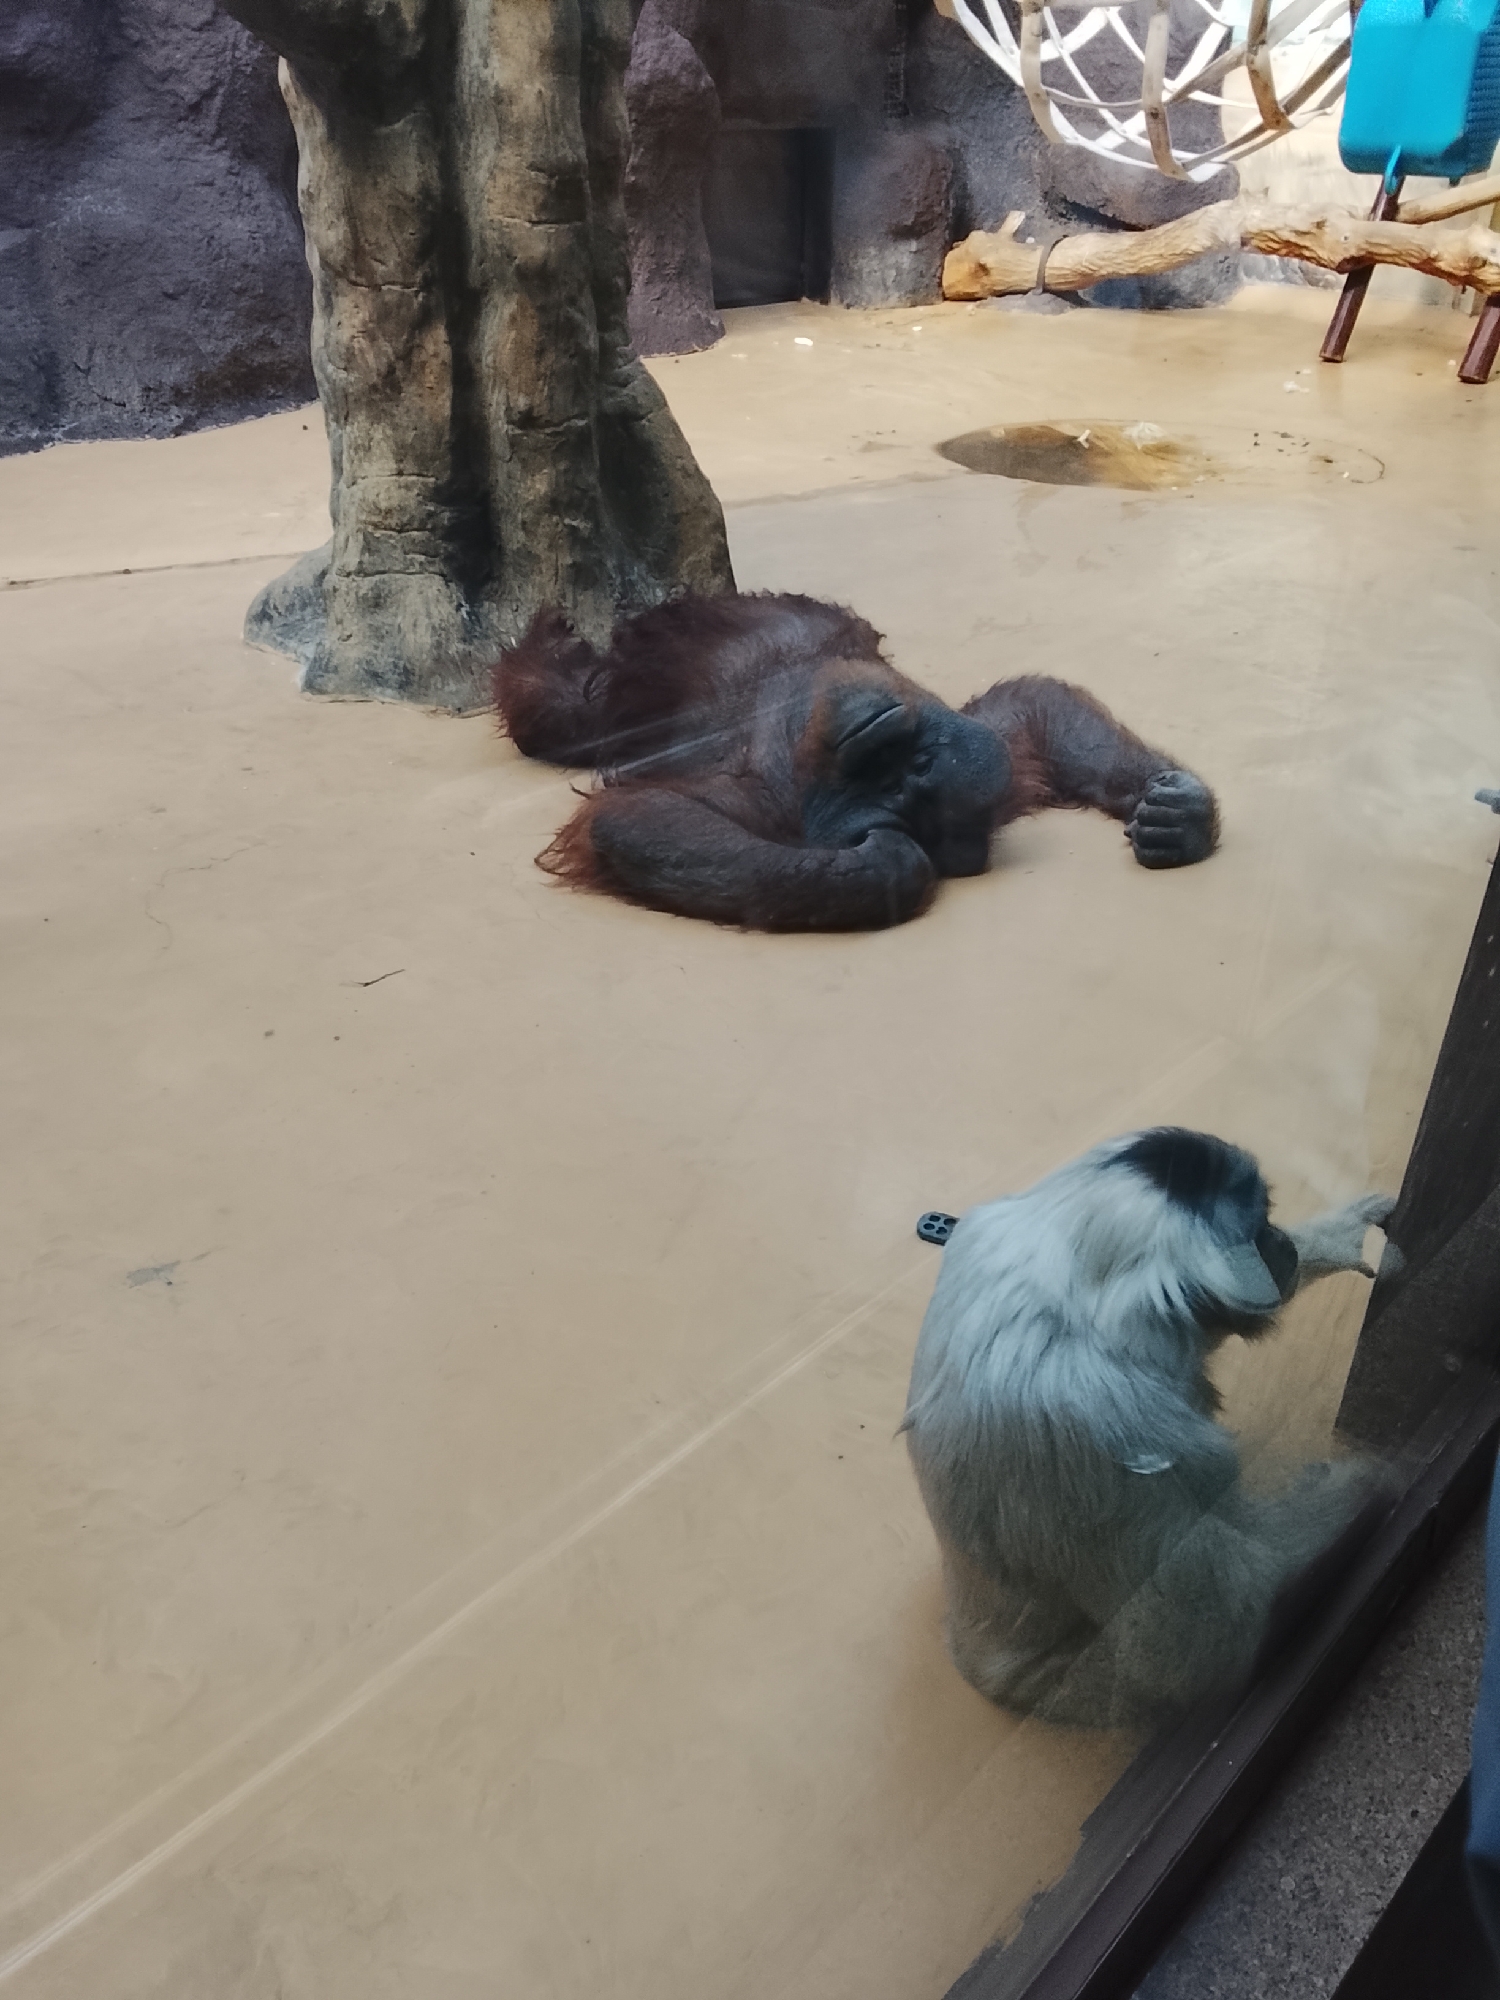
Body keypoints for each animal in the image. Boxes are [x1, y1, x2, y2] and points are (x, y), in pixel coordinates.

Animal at [493, 592, 1218, 931]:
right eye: (913, 761)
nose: (880, 750)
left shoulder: (761, 801)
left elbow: (632, 818)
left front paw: (884, 866)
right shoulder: (1002, 742)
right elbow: (1035, 702)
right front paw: (1176, 804)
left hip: (607, 703)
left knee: (555, 707)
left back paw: (550, 653)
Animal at [902, 1127, 1395, 1729]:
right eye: (1257, 1232)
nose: (1280, 1243)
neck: (1076, 1281)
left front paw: (1332, 1237)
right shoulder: (1102, 1428)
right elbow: (1192, 1649)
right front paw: (1361, 1494)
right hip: (1083, 1689)